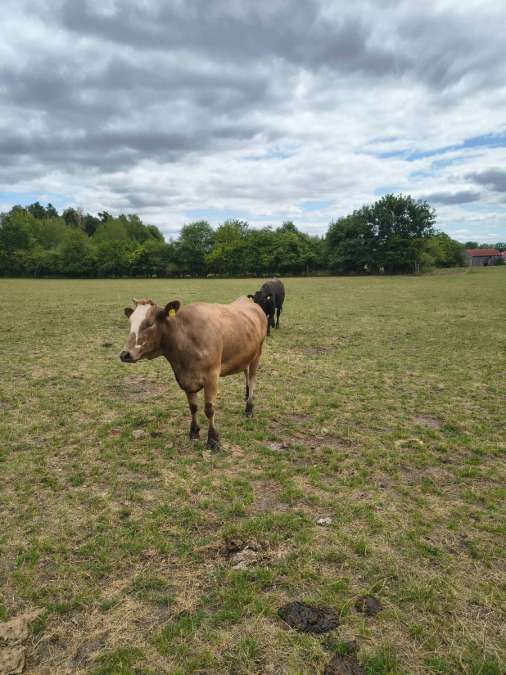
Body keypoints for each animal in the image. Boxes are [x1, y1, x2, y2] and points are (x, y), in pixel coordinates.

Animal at [119, 297, 267, 449]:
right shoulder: (185, 378)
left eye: (149, 324)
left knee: (252, 379)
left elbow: (209, 409)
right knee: (246, 373)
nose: (125, 354)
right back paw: (246, 395)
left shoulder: (212, 376)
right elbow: (193, 407)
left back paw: (249, 407)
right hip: (246, 355)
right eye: (130, 322)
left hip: (258, 353)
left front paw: (213, 439)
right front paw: (194, 431)